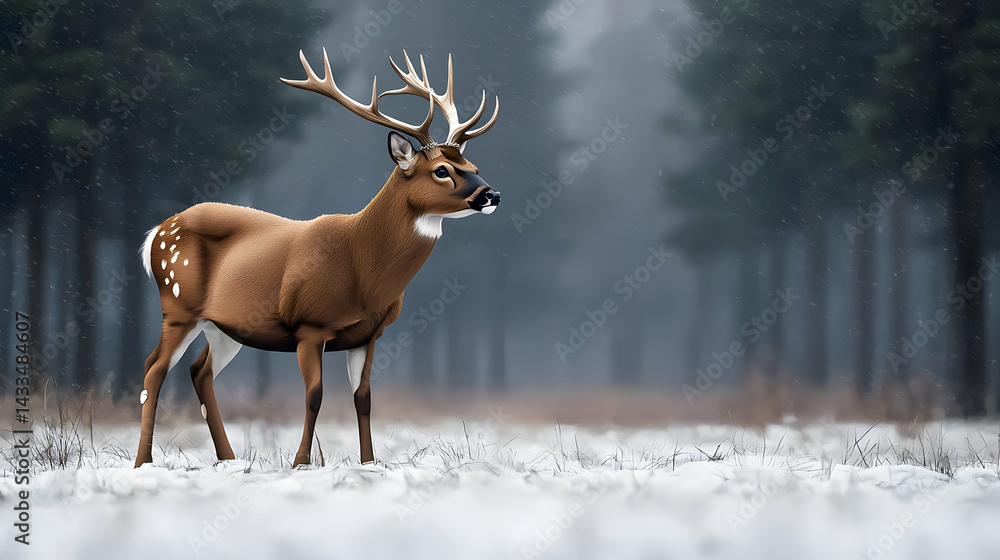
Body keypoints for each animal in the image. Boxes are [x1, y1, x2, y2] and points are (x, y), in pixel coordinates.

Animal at [133, 49, 500, 468]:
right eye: (441, 170)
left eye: (473, 168)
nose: (492, 194)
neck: (363, 269)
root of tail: (156, 234)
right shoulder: (310, 324)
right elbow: (314, 396)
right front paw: (301, 462)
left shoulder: (369, 334)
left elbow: (363, 398)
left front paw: (368, 463)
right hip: (178, 302)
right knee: (153, 369)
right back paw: (143, 462)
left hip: (224, 326)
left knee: (199, 371)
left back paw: (228, 459)